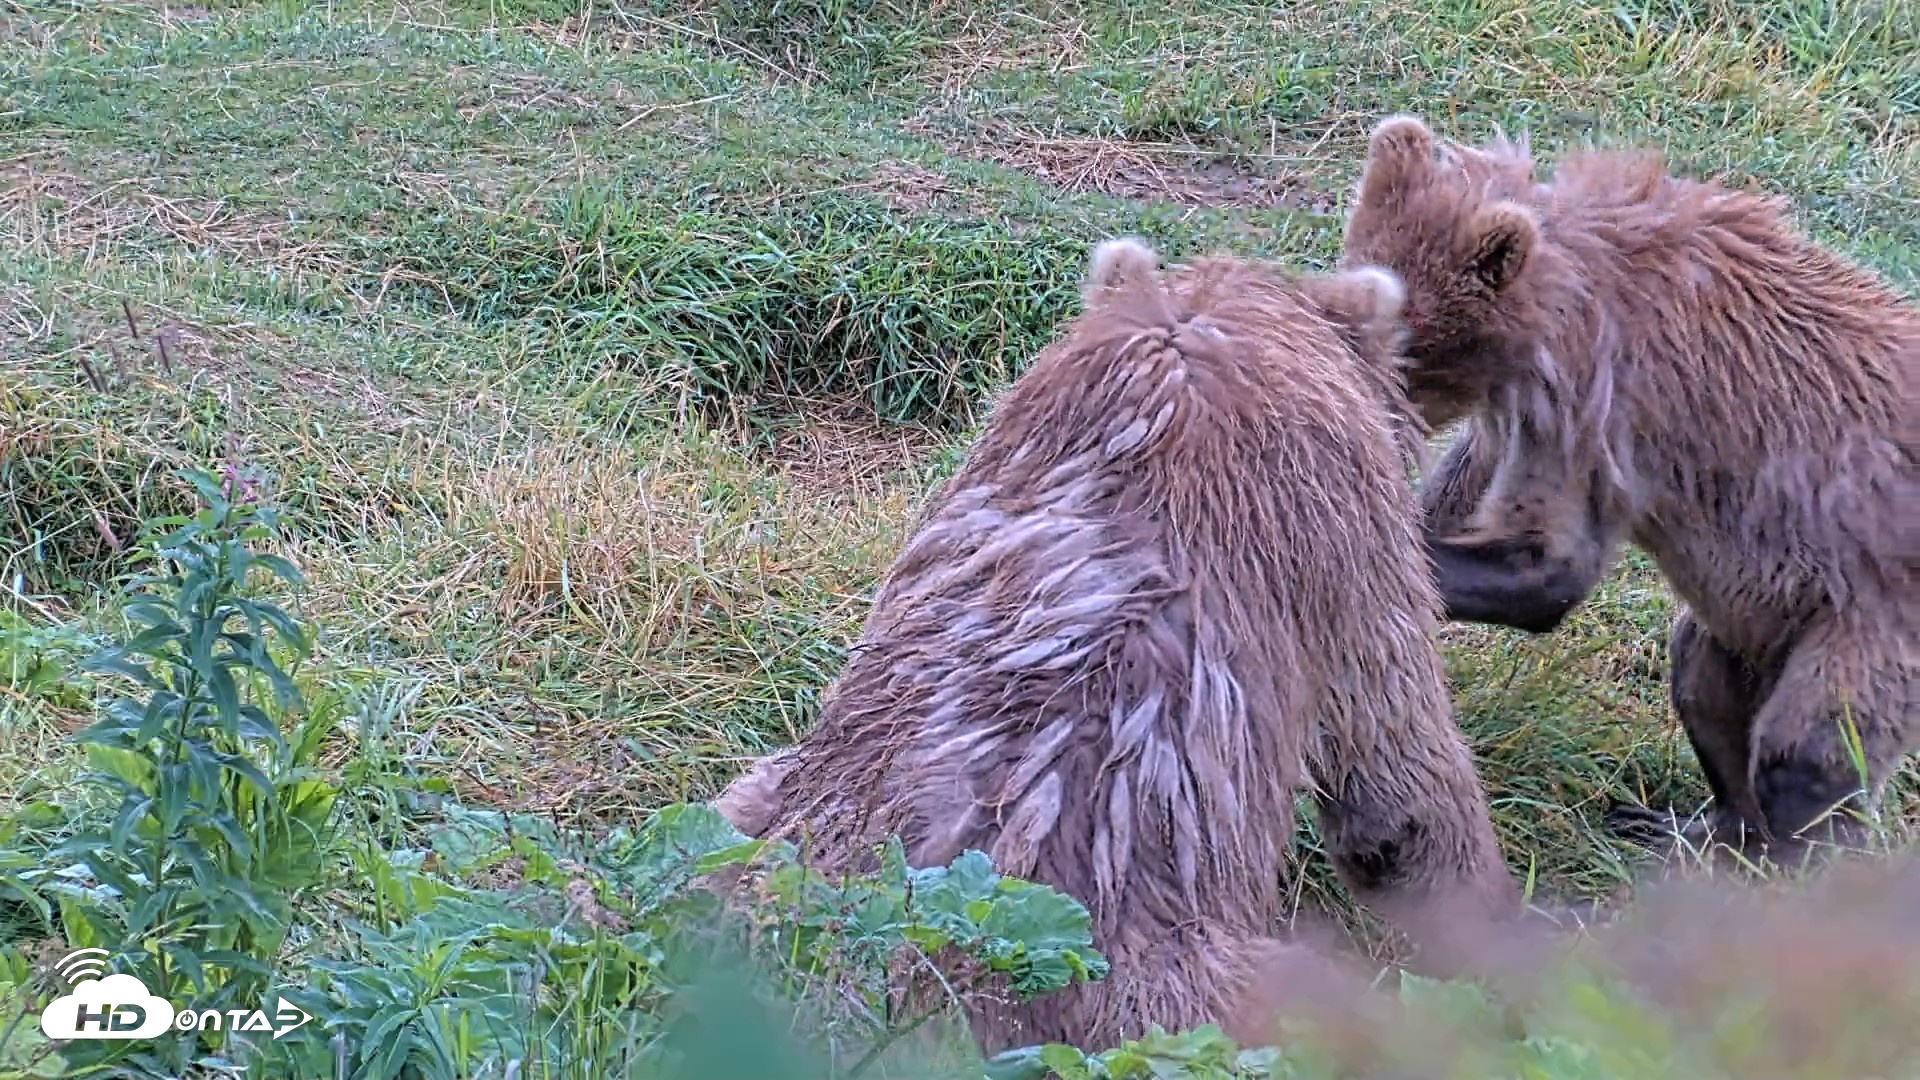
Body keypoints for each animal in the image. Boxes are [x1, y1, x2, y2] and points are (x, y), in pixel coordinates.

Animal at [1338, 112, 1918, 870]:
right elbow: (1461, 492)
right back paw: (1692, 827)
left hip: (1868, 620)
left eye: (1409, 341)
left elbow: (1547, 564)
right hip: (1760, 618)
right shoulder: (1521, 408)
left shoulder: (1596, 398)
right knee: (1703, 679)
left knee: (1807, 755)